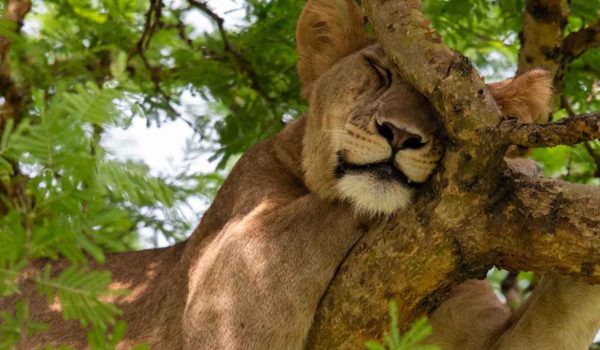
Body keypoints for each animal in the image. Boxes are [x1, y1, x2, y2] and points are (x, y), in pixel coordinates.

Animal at [3, 0, 600, 350]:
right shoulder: (225, 294)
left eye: (438, 105)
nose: (400, 134)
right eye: (379, 71)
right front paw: (518, 164)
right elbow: (322, 210)